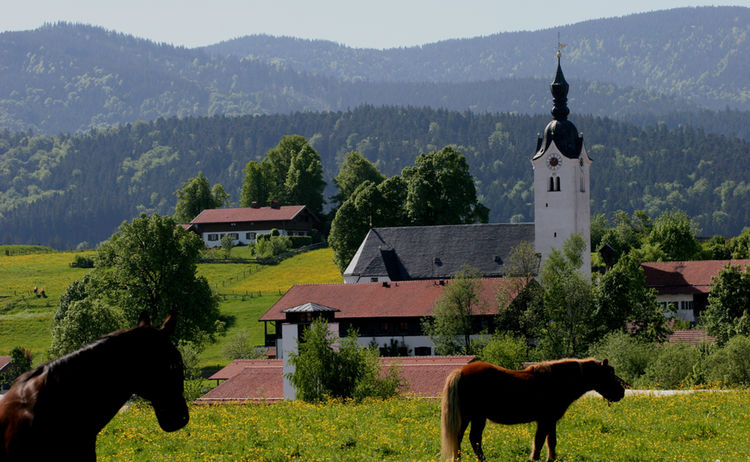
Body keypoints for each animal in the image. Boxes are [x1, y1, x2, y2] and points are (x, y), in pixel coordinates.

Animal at [440, 360, 628, 460]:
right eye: (610, 373)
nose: (621, 392)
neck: (556, 381)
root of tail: (460, 371)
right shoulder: (545, 420)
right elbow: (539, 442)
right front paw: (535, 458)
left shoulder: (550, 421)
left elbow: (551, 442)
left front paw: (551, 459)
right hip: (475, 417)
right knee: (470, 439)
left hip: (472, 417)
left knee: (464, 439)